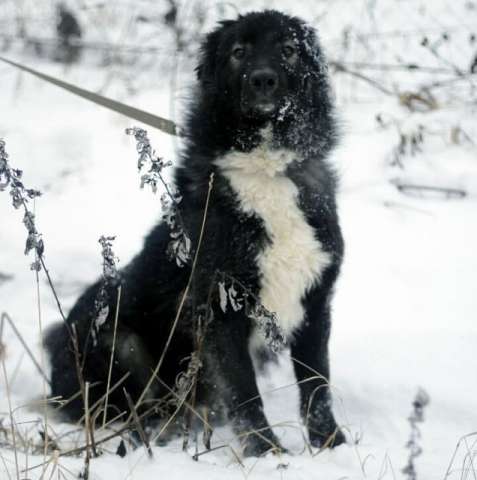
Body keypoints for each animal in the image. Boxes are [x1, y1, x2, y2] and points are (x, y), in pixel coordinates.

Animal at [45, 9, 346, 456]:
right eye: (238, 52)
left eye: (289, 49)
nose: (263, 80)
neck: (266, 169)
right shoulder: (220, 311)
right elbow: (245, 393)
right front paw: (267, 454)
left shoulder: (315, 303)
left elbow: (317, 387)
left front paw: (331, 445)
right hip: (119, 341)